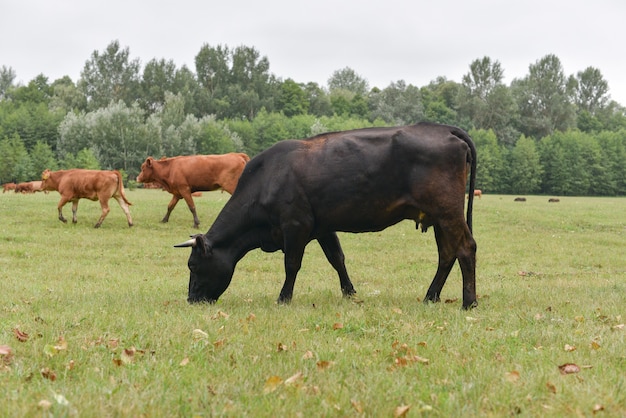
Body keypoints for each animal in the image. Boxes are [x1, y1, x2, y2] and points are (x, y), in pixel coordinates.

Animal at [173, 122, 476, 308]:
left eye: (193, 266)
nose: (191, 299)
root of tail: (443, 129)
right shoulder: (322, 226)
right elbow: (337, 259)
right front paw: (349, 292)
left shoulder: (295, 224)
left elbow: (292, 264)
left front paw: (283, 298)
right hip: (438, 217)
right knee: (446, 254)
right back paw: (430, 297)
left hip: (448, 212)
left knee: (465, 248)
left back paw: (469, 302)